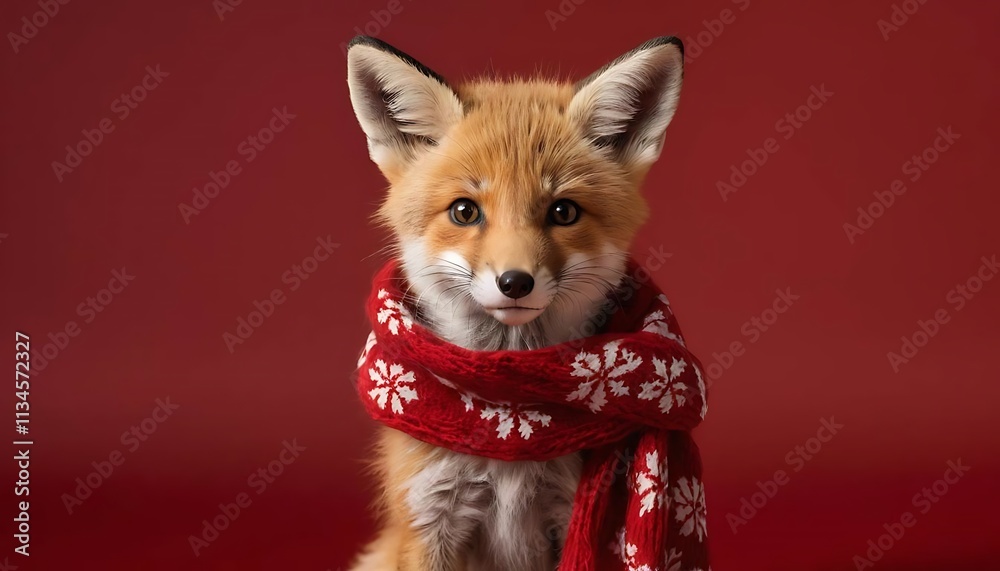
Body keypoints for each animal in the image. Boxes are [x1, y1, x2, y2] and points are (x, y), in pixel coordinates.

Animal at [346, 35, 685, 571]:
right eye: (465, 211)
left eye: (563, 211)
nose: (515, 282)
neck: (508, 420)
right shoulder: (427, 519)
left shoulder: (569, 516)